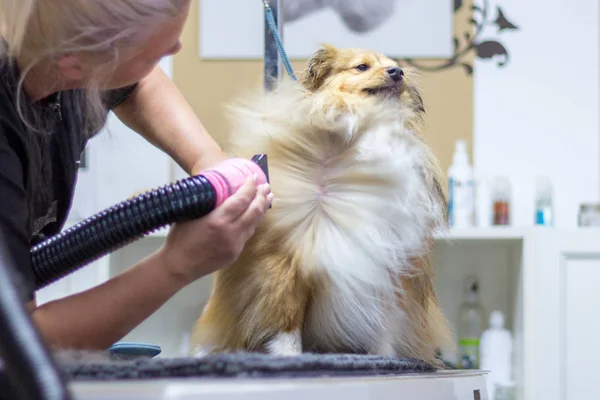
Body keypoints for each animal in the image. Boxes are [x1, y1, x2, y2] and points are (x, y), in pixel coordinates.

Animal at [190, 45, 452, 368]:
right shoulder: (286, 261)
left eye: (395, 66)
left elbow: (384, 327)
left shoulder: (392, 265)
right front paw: (289, 357)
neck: (363, 130)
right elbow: (286, 322)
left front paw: (385, 359)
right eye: (361, 67)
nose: (397, 72)